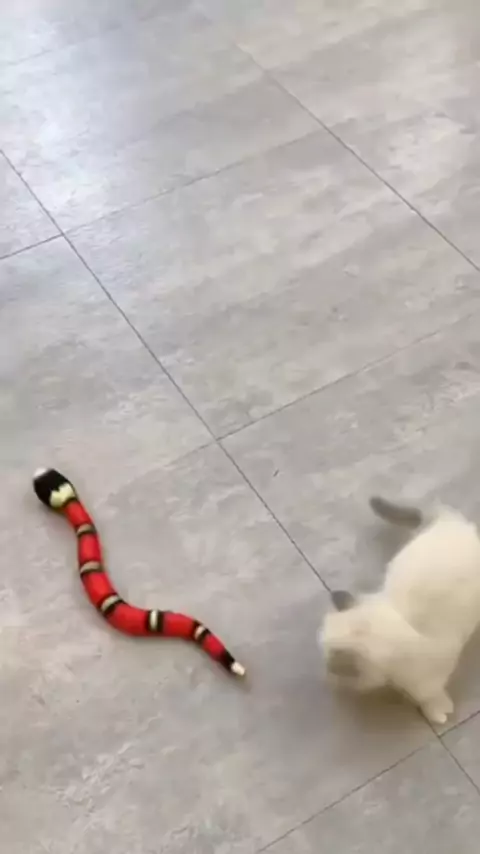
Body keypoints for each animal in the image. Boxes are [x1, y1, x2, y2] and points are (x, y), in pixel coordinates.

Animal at [320, 496, 480, 724]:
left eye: (331, 664)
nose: (327, 672)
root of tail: (449, 519)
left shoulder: (432, 674)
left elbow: (428, 694)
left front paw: (438, 712)